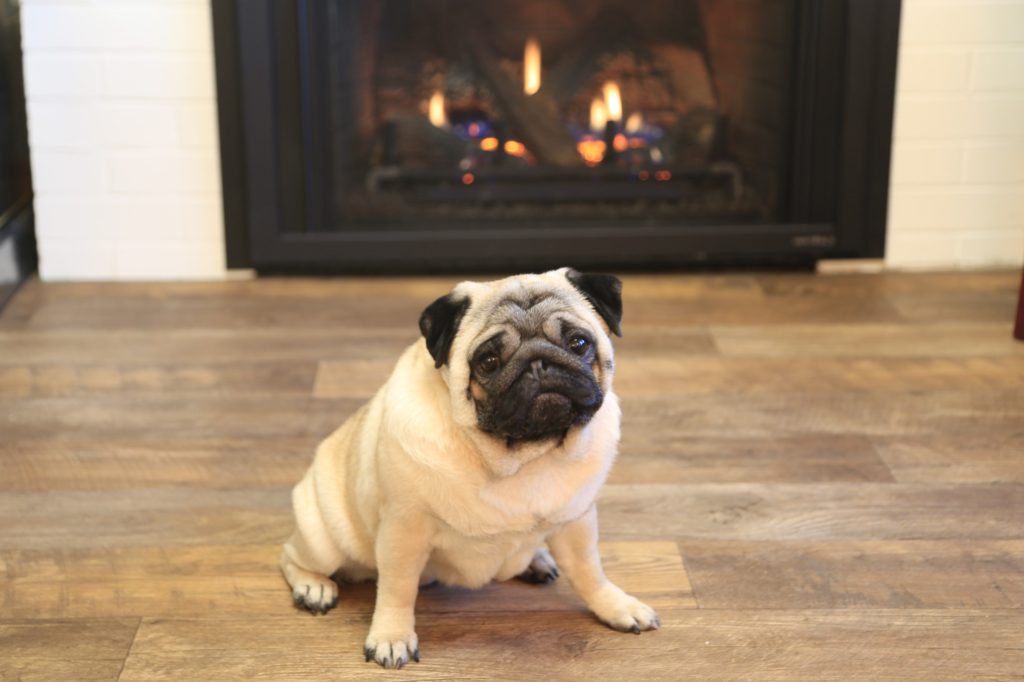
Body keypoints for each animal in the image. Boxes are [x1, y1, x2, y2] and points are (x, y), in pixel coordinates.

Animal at [280, 266, 659, 663]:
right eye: (488, 361)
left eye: (579, 343)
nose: (539, 362)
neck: (522, 457)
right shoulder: (404, 530)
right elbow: (397, 589)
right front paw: (391, 636)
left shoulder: (576, 520)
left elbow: (589, 570)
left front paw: (615, 605)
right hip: (323, 538)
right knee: (291, 556)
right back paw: (313, 587)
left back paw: (537, 559)